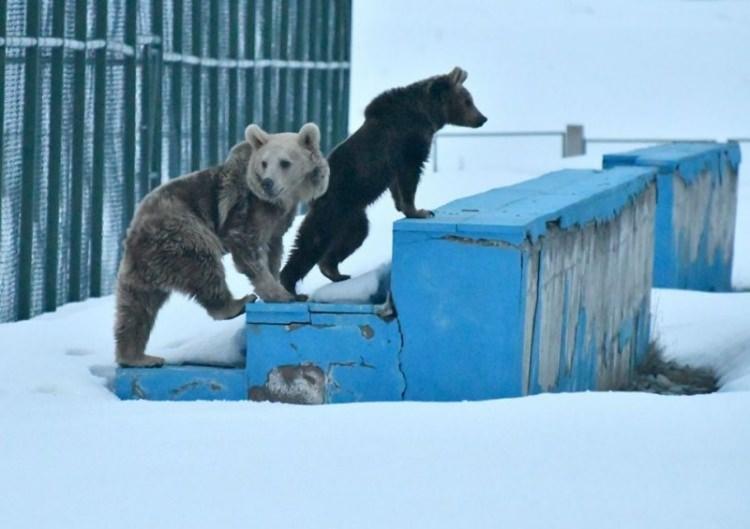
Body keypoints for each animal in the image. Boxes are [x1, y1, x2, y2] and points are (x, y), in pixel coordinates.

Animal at [114, 121, 328, 366]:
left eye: (285, 162)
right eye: (264, 163)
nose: (268, 183)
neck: (283, 200)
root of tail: (134, 233)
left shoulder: (277, 223)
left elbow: (274, 252)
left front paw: (285, 287)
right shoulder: (247, 209)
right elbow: (248, 248)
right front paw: (282, 295)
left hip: (140, 268)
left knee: (135, 308)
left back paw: (137, 356)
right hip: (182, 232)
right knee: (204, 267)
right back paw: (236, 303)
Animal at [280, 67, 488, 292]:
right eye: (468, 101)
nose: (482, 118)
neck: (427, 114)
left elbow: (397, 183)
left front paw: (403, 207)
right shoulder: (410, 141)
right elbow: (410, 174)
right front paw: (421, 211)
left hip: (353, 214)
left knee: (354, 237)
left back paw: (335, 271)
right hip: (334, 205)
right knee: (312, 239)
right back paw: (288, 283)